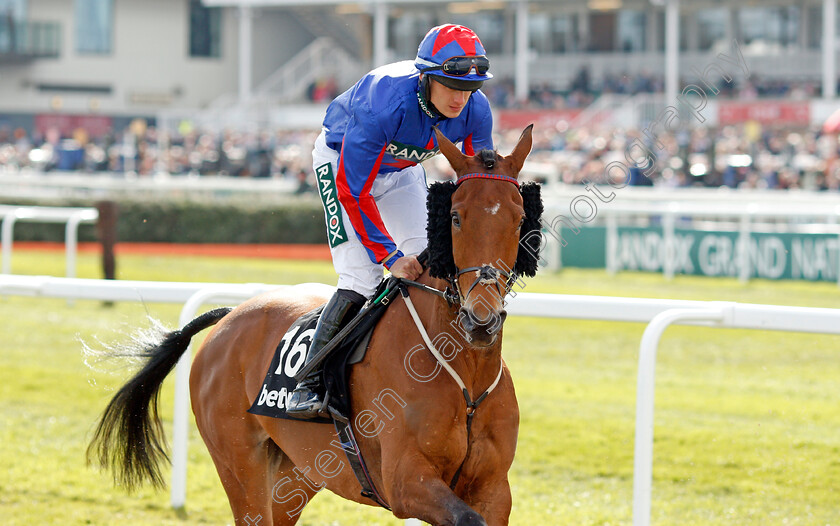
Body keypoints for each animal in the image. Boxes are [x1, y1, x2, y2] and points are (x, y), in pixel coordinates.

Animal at [88, 127, 540, 526]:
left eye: (519, 219)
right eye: (456, 218)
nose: (481, 318)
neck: (464, 372)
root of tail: (229, 317)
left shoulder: (493, 488)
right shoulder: (405, 481)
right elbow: (463, 516)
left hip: (295, 473)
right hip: (241, 464)